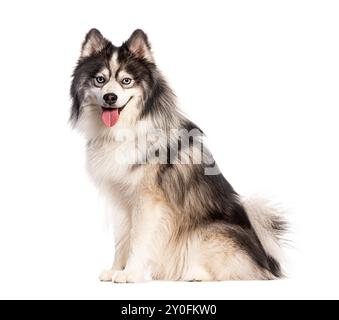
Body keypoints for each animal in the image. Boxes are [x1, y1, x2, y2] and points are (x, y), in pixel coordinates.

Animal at [69, 28, 286, 282]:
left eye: (126, 81)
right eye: (100, 79)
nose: (110, 97)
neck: (123, 130)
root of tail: (267, 262)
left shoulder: (148, 201)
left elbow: (138, 240)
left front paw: (130, 273)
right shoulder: (121, 200)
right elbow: (122, 239)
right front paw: (116, 270)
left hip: (207, 234)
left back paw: (195, 274)